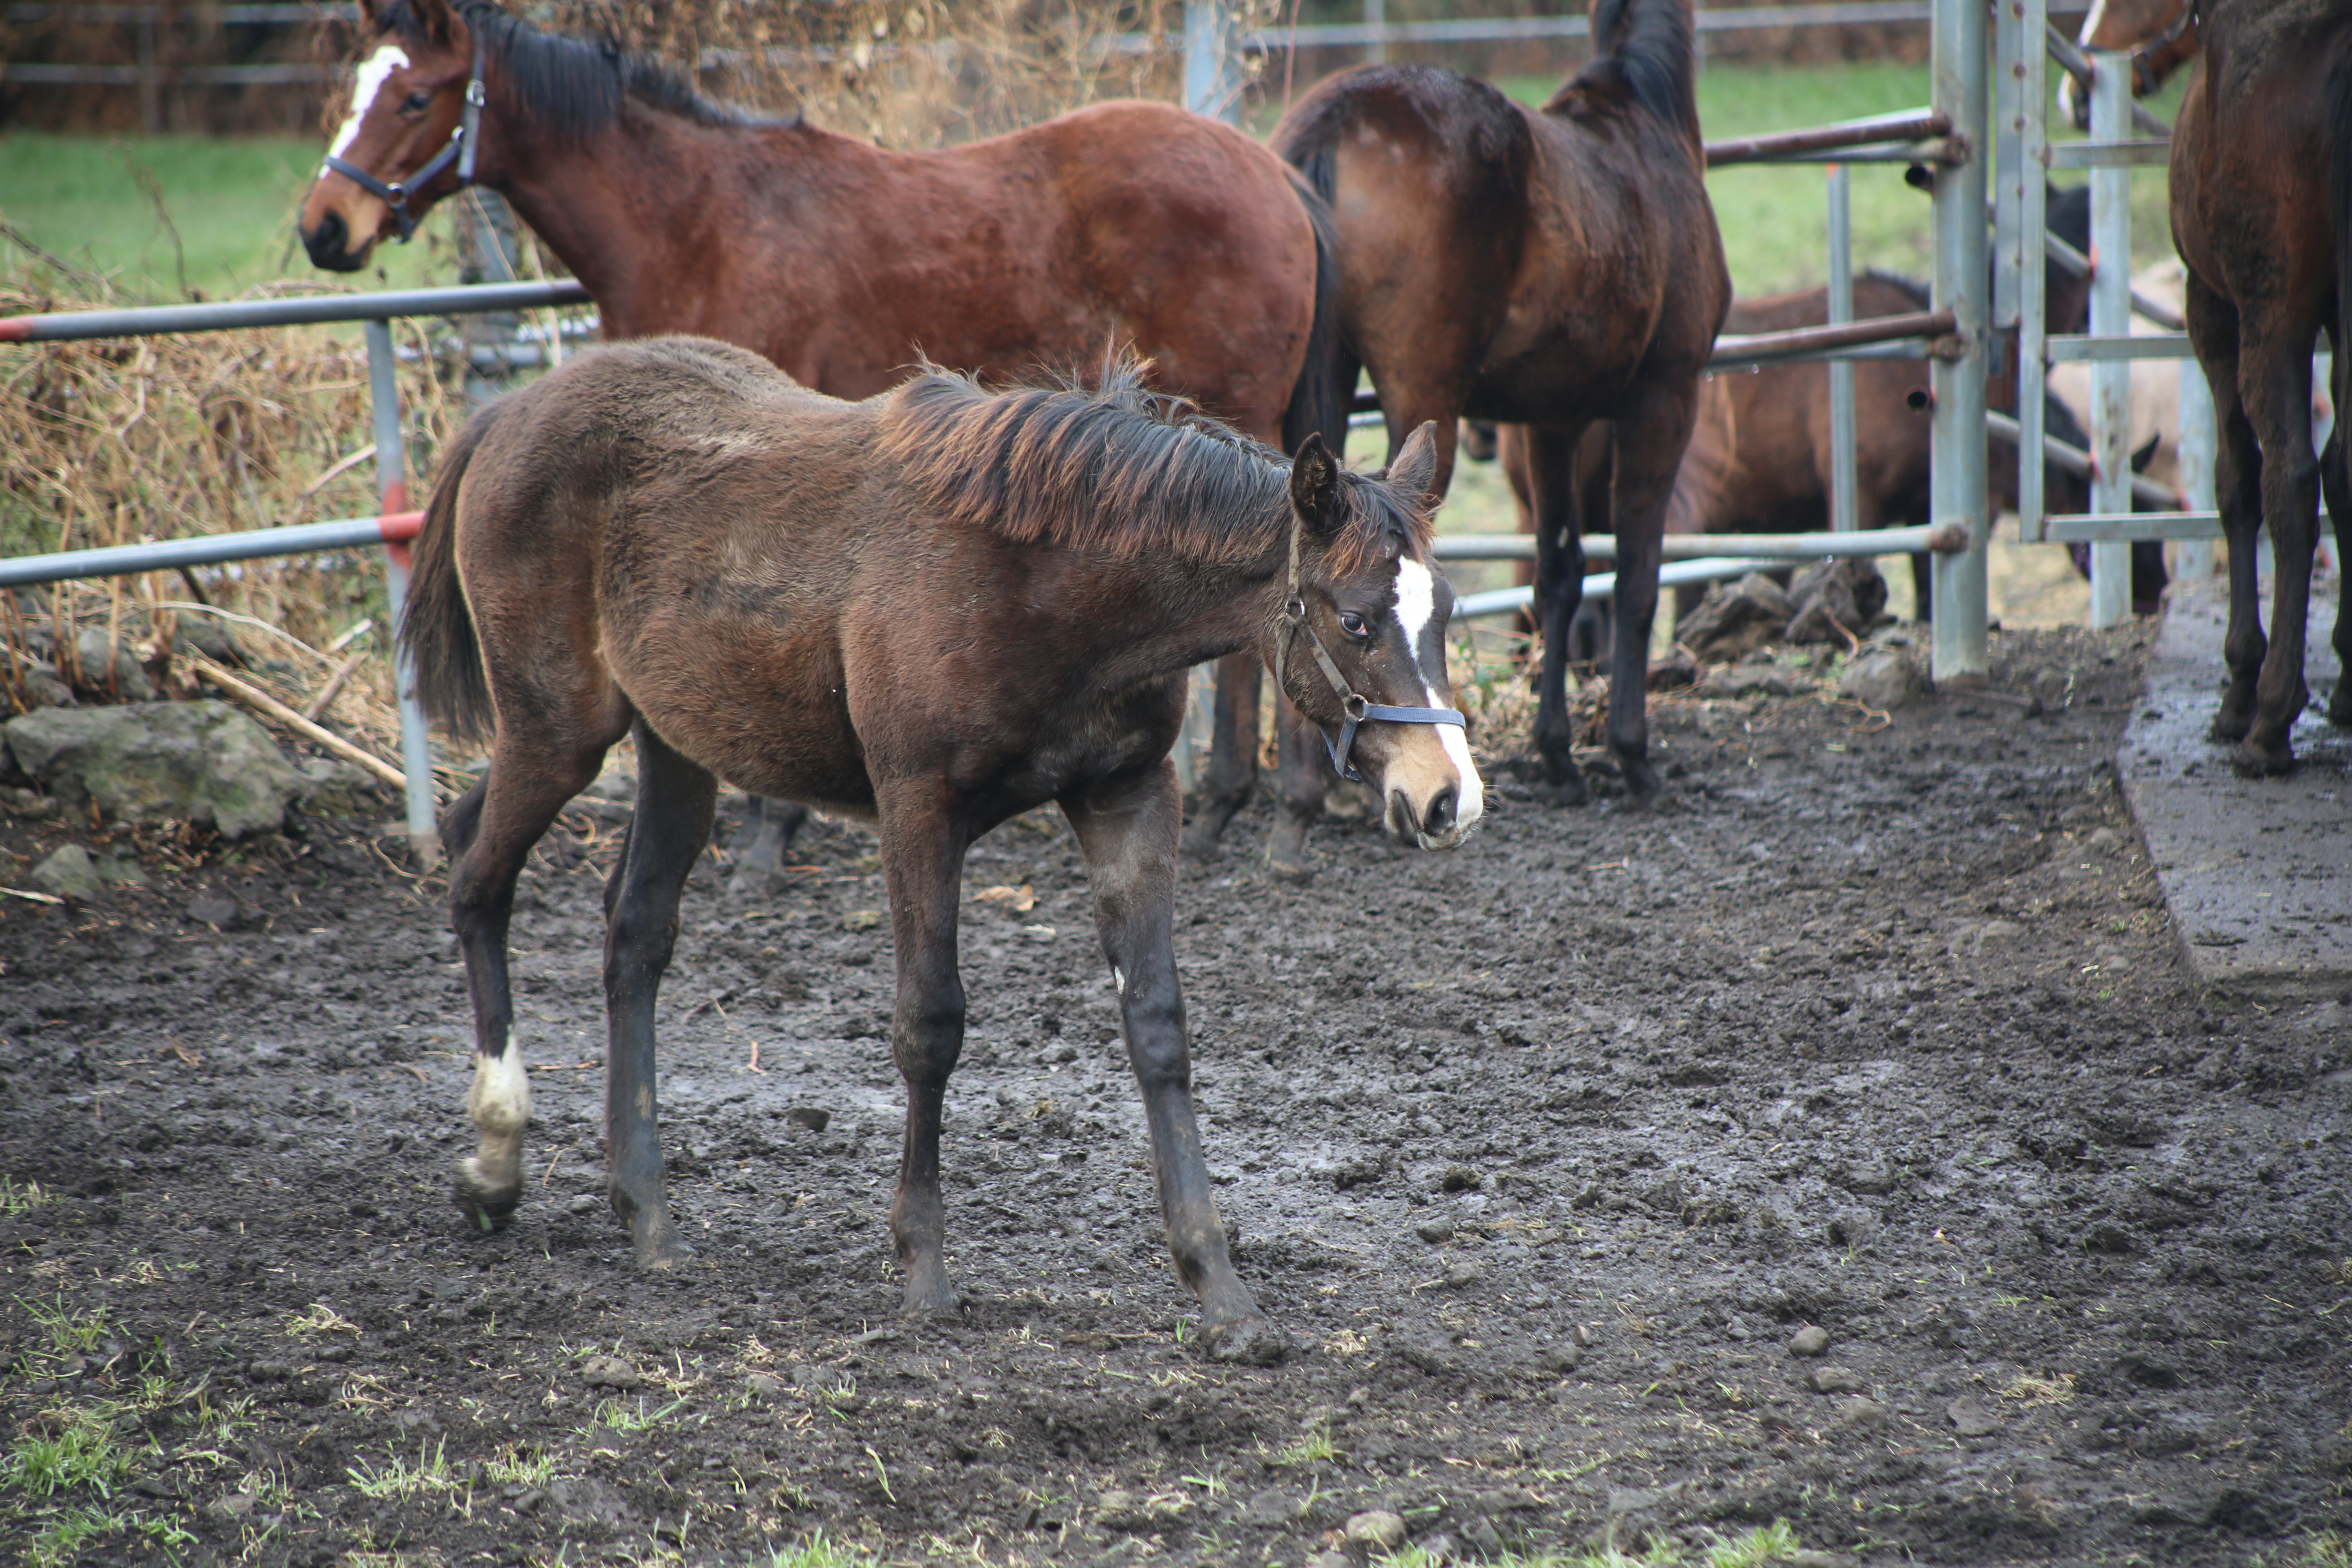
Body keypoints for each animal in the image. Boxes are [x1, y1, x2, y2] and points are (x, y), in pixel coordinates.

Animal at [298, 0, 1345, 884]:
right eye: (352, 87)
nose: (324, 229)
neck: (696, 219)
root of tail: (1271, 173)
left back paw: (1251, 811)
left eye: (415, 96)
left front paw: (772, 832)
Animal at [395, 341, 1477, 1363]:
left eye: (1450, 611)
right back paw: (496, 1158)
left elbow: (1158, 1028)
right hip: (559, 729)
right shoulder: (917, 805)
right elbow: (930, 1026)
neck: (1043, 589)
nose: (1448, 797)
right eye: (1355, 618)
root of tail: (505, 413)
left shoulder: (1127, 795)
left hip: (676, 746)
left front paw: (1219, 1289)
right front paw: (922, 1269)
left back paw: (646, 1211)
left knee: (633, 936)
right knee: (476, 877)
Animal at [1270, 0, 1731, 808]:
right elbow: (1638, 577)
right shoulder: (1664, 398)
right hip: (1426, 400)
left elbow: (1559, 575)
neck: (1643, 117)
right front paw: (1631, 752)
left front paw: (1558, 754)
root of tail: (1335, 118)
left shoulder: (1555, 422)